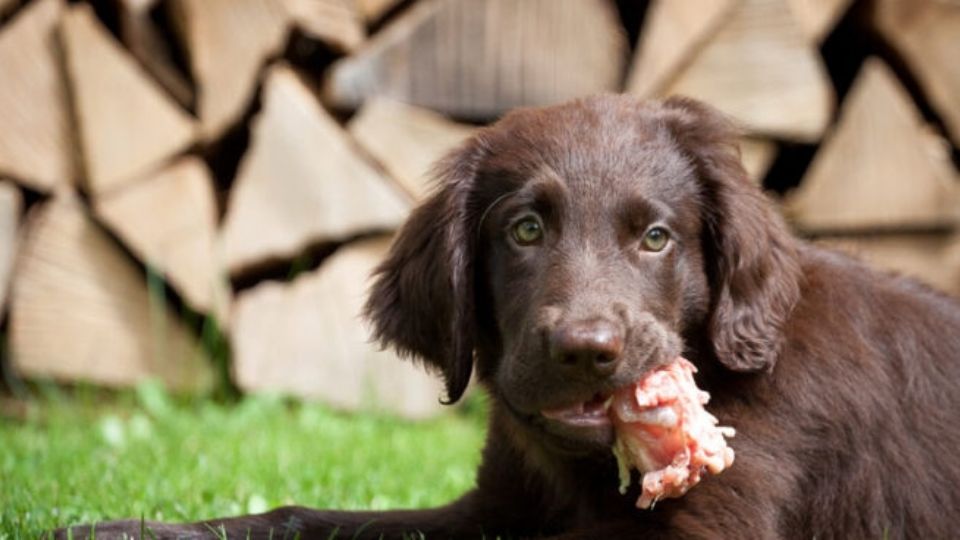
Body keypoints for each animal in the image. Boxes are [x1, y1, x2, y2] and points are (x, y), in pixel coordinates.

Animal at [58, 95, 960, 536]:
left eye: (656, 237)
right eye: (525, 229)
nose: (587, 350)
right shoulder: (491, 509)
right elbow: (299, 517)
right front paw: (120, 530)